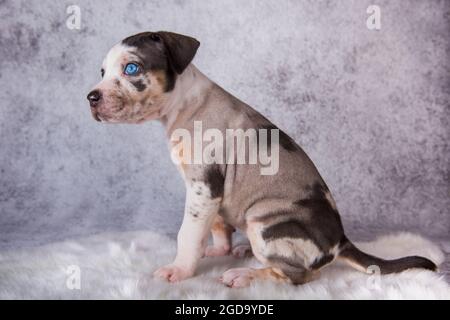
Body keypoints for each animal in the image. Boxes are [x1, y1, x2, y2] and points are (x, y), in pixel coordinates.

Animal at [87, 31, 436, 288]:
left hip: (264, 222)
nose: (91, 97)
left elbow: (188, 233)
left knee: (300, 275)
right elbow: (217, 226)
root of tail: (341, 242)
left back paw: (245, 274)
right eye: (103, 72)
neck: (184, 105)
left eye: (132, 68)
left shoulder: (204, 187)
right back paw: (243, 254)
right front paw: (220, 250)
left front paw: (180, 270)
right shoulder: (212, 193)